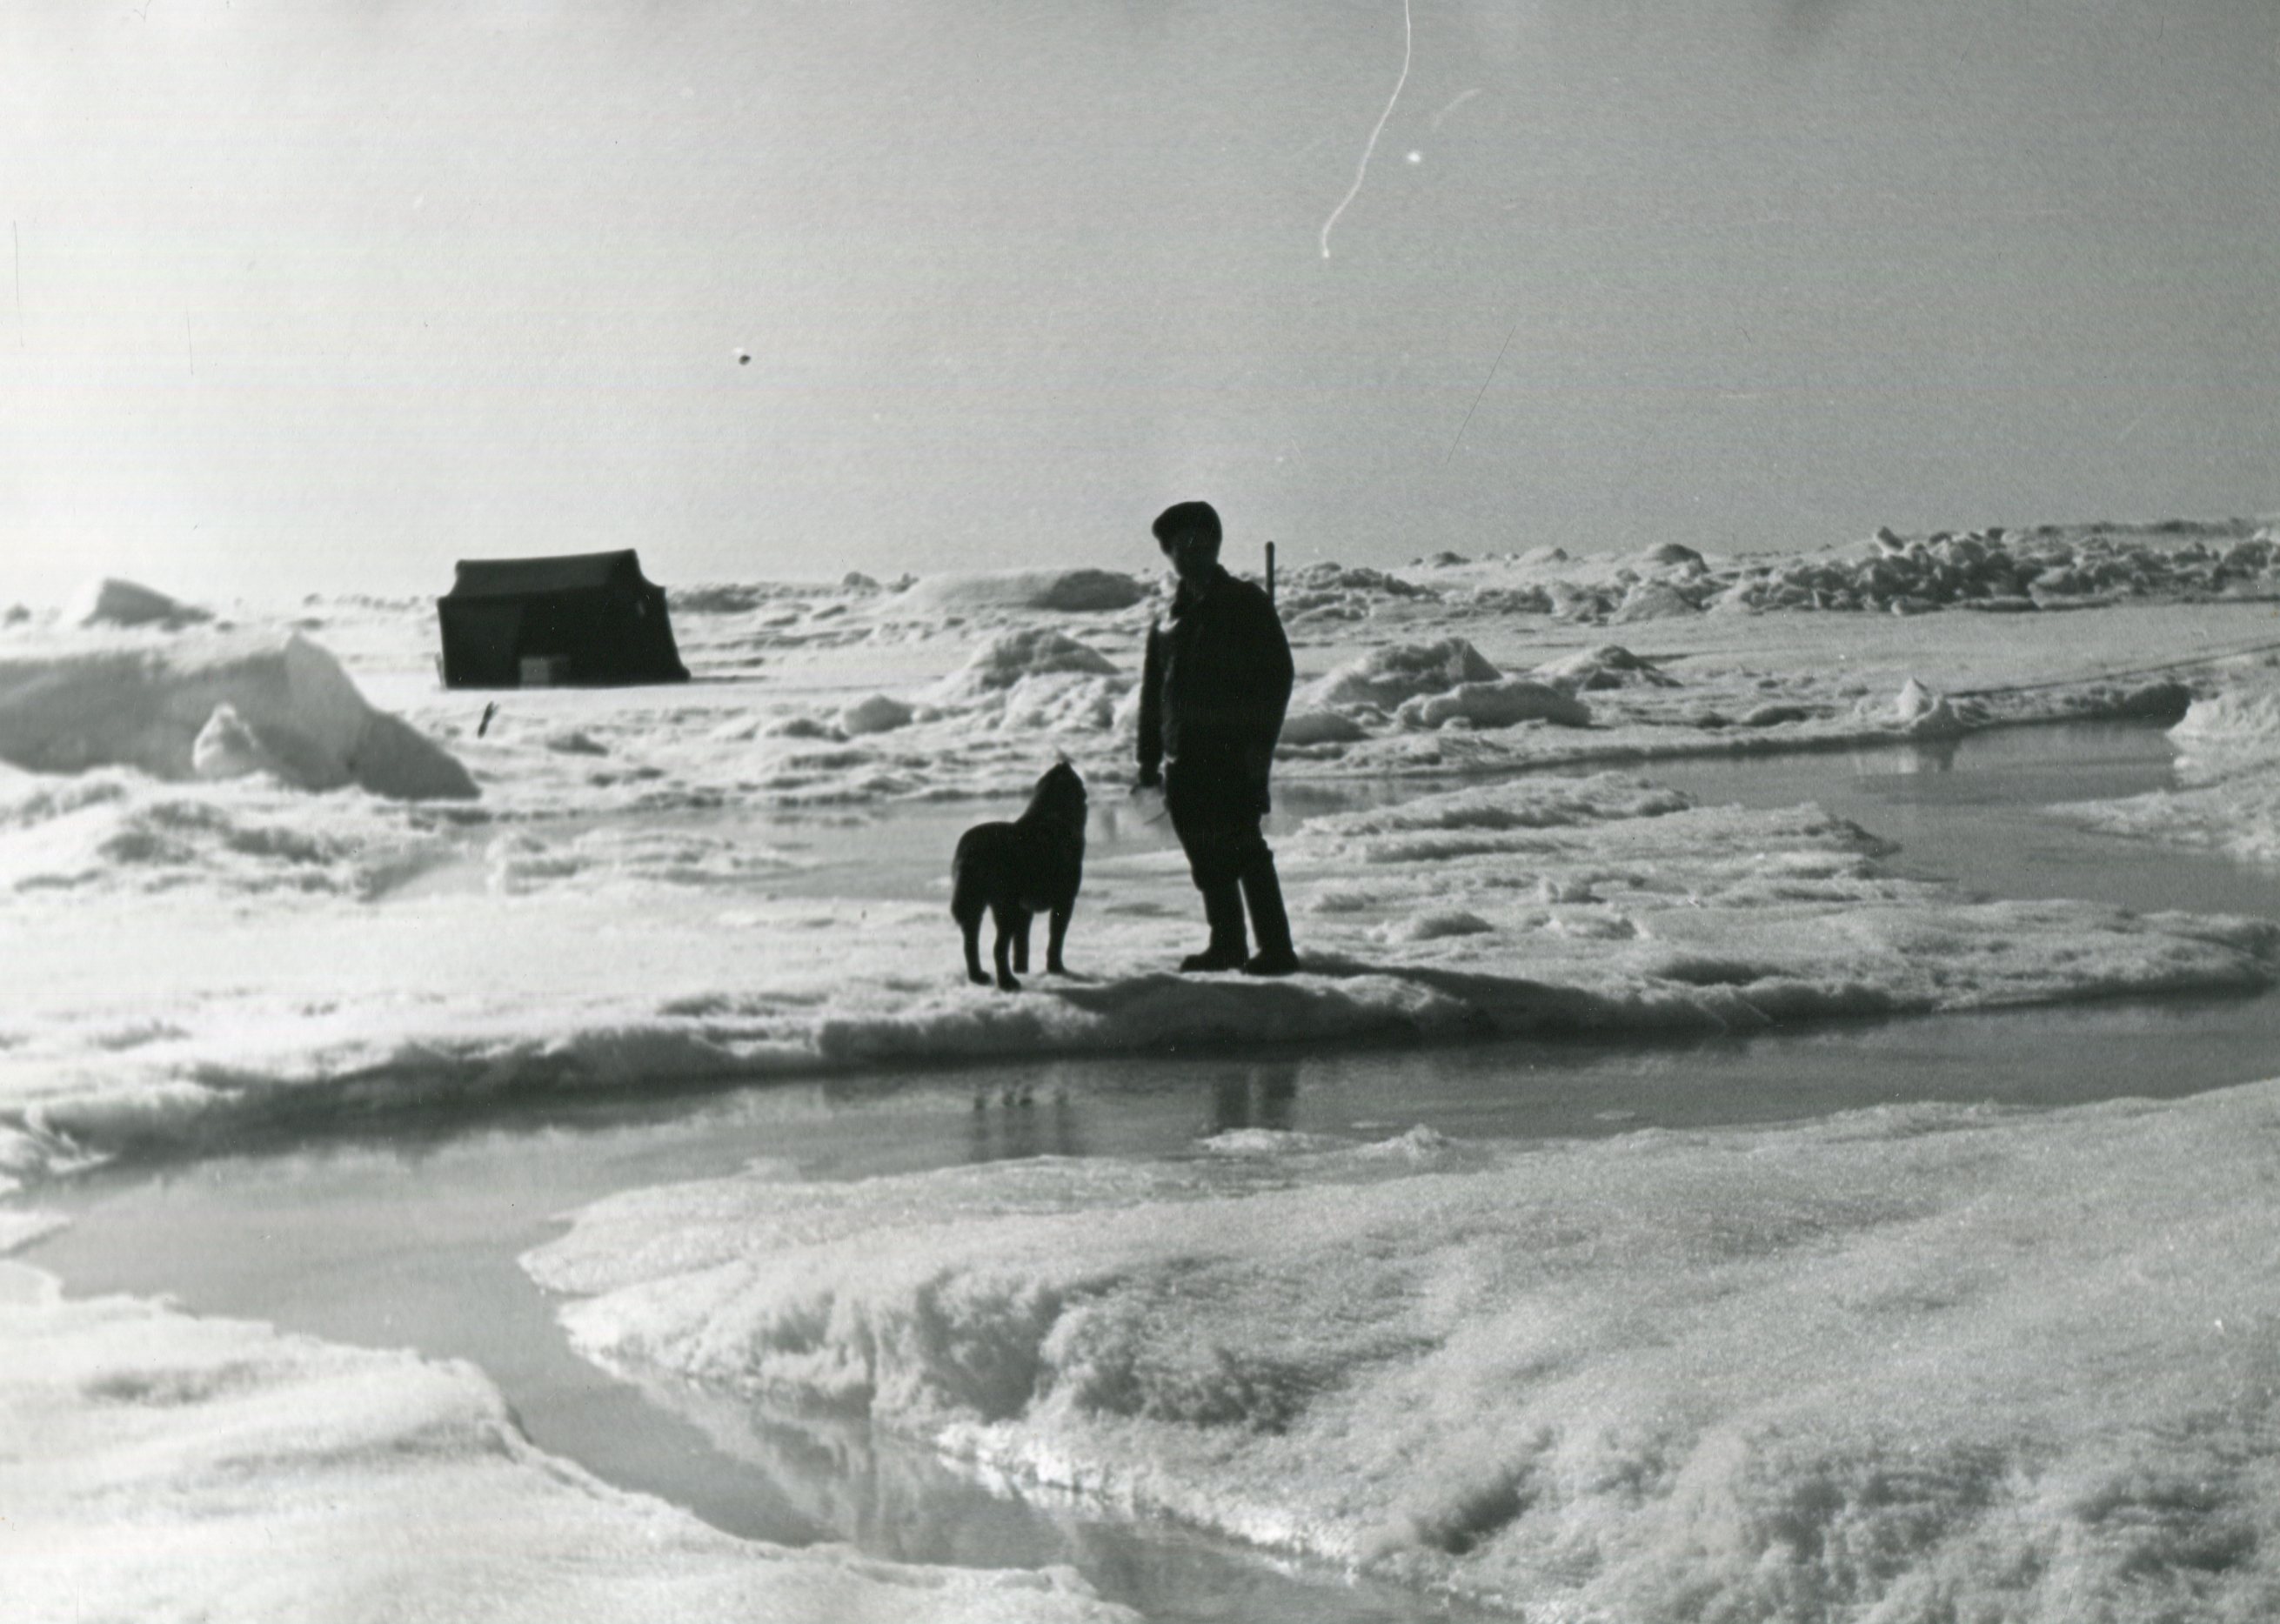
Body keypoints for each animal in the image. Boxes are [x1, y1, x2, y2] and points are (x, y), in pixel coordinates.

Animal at [951, 759, 1086, 992]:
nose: (1064, 761)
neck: (1051, 813)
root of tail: (971, 850)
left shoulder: (1025, 909)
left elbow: (1022, 944)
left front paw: (1022, 969)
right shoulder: (1065, 901)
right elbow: (1056, 939)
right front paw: (1056, 969)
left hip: (976, 903)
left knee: (970, 943)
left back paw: (979, 976)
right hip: (1005, 907)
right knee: (998, 947)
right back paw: (1007, 982)